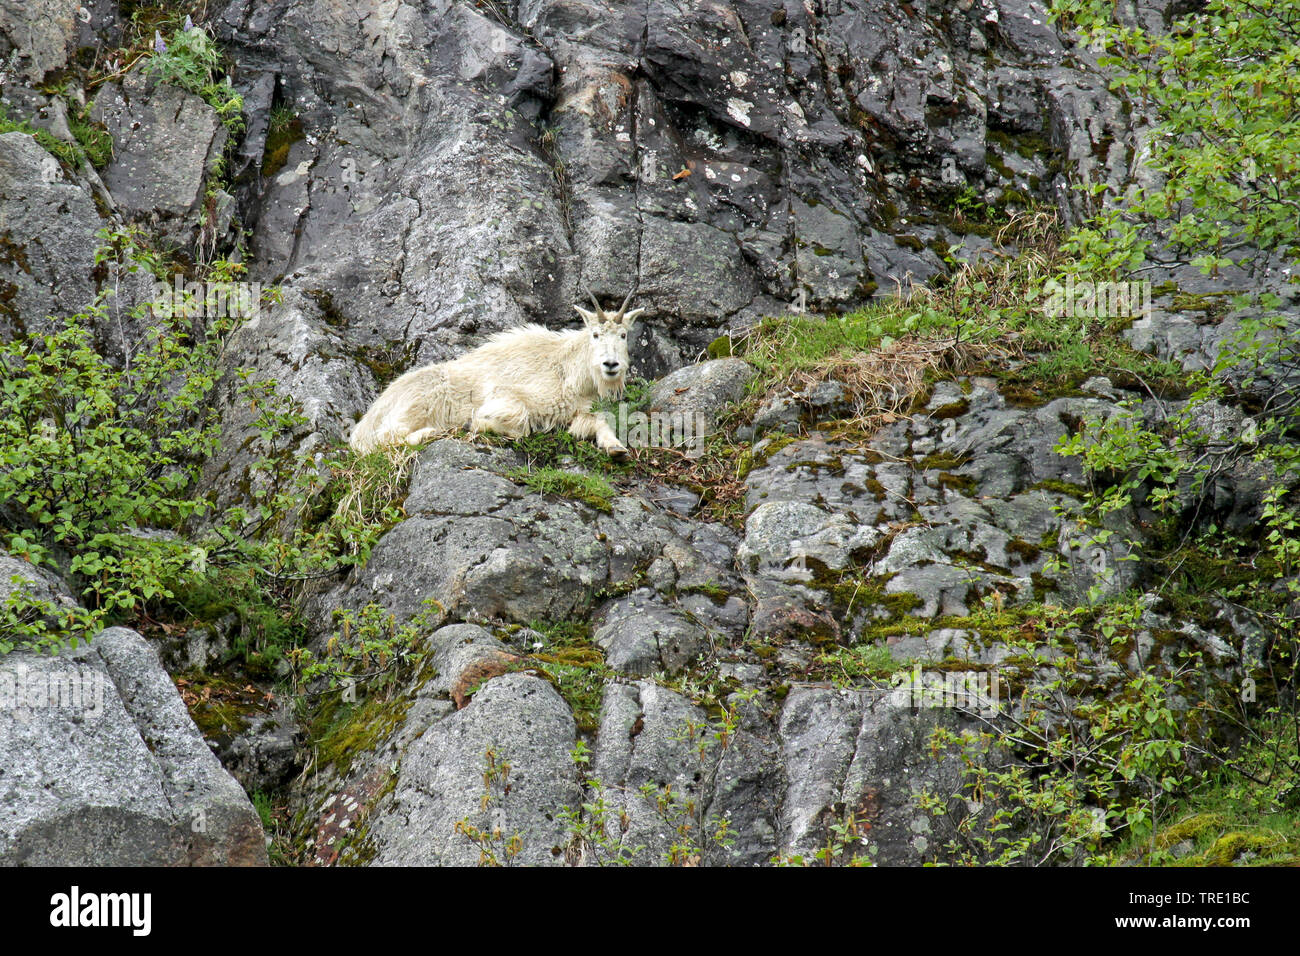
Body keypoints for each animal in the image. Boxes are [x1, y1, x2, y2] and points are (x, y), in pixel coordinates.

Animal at [351, 290, 644, 457]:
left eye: (623, 335)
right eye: (595, 334)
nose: (610, 365)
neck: (567, 370)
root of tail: (367, 419)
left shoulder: (575, 410)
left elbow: (599, 421)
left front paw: (616, 447)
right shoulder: (507, 395)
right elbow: (520, 423)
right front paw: (475, 424)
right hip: (419, 403)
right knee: (385, 438)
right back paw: (430, 433)